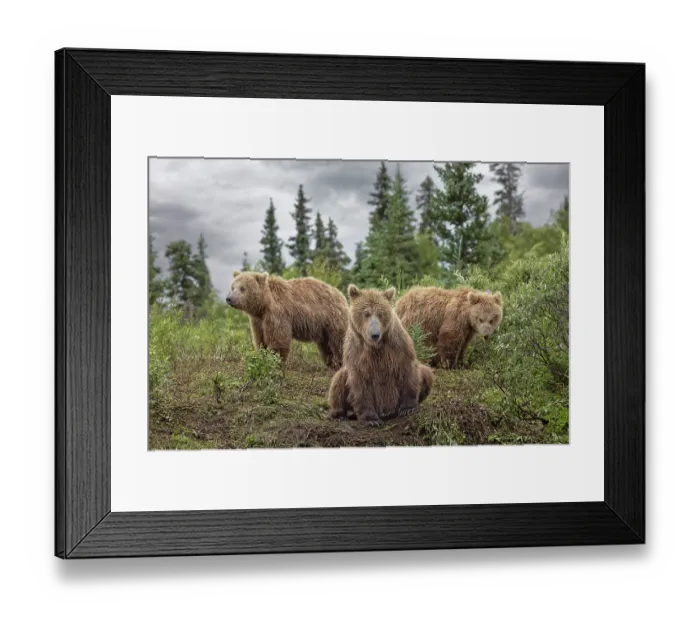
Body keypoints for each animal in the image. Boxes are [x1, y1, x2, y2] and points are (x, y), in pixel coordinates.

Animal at [328, 284, 434, 427]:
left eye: (381, 314)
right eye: (366, 314)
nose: (375, 334)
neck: (376, 347)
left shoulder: (398, 347)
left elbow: (408, 372)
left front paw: (407, 408)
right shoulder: (357, 354)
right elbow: (360, 385)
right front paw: (371, 420)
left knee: (427, 373)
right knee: (338, 380)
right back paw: (339, 415)